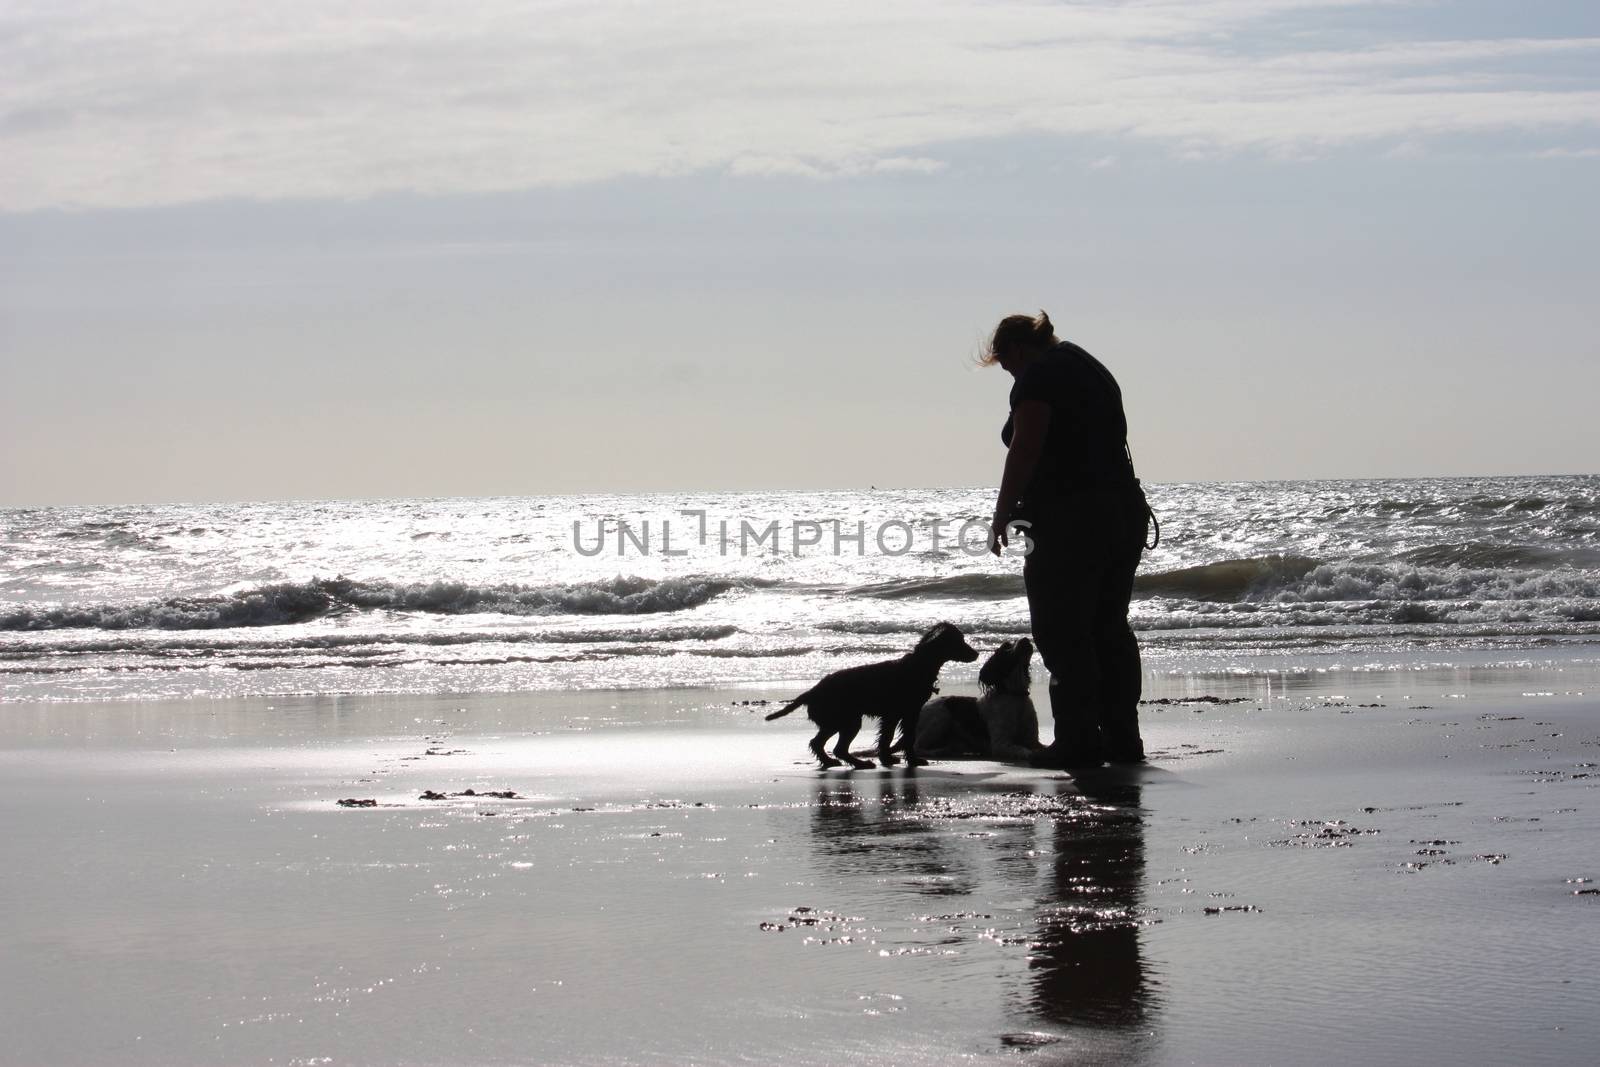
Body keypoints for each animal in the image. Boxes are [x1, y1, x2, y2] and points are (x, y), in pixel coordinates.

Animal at [768, 620, 979, 771]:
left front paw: (888, 758)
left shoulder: (894, 716)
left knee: (820, 743)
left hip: (837, 722)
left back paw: (832, 762)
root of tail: (812, 691)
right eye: (959, 641)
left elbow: (888, 737)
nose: (976, 654)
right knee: (836, 748)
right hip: (847, 721)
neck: (918, 667)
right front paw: (911, 760)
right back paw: (860, 764)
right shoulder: (907, 713)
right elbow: (904, 738)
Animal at [908, 639, 1043, 764]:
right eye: (1006, 647)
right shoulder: (1000, 744)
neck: (1015, 695)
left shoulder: (1032, 740)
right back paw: (939, 751)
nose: (1025, 639)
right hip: (941, 717)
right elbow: (1024, 750)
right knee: (916, 747)